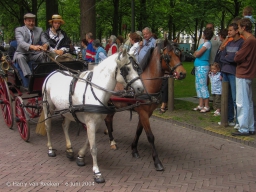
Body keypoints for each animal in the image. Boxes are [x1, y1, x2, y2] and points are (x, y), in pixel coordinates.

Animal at [42, 50, 144, 184]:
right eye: (126, 69)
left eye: (137, 68)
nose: (140, 88)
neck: (96, 90)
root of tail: (53, 72)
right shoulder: (90, 122)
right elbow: (93, 147)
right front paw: (97, 172)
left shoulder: (96, 122)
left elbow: (88, 142)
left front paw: (80, 156)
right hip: (48, 107)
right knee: (48, 126)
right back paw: (50, 149)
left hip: (68, 111)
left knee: (64, 126)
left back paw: (69, 150)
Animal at [104, 38, 186, 170]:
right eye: (168, 56)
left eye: (179, 54)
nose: (183, 73)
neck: (147, 84)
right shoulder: (142, 112)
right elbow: (150, 136)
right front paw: (157, 161)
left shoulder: (147, 113)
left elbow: (139, 131)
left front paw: (134, 149)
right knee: (106, 120)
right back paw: (112, 141)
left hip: (114, 105)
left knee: (108, 120)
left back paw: (111, 137)